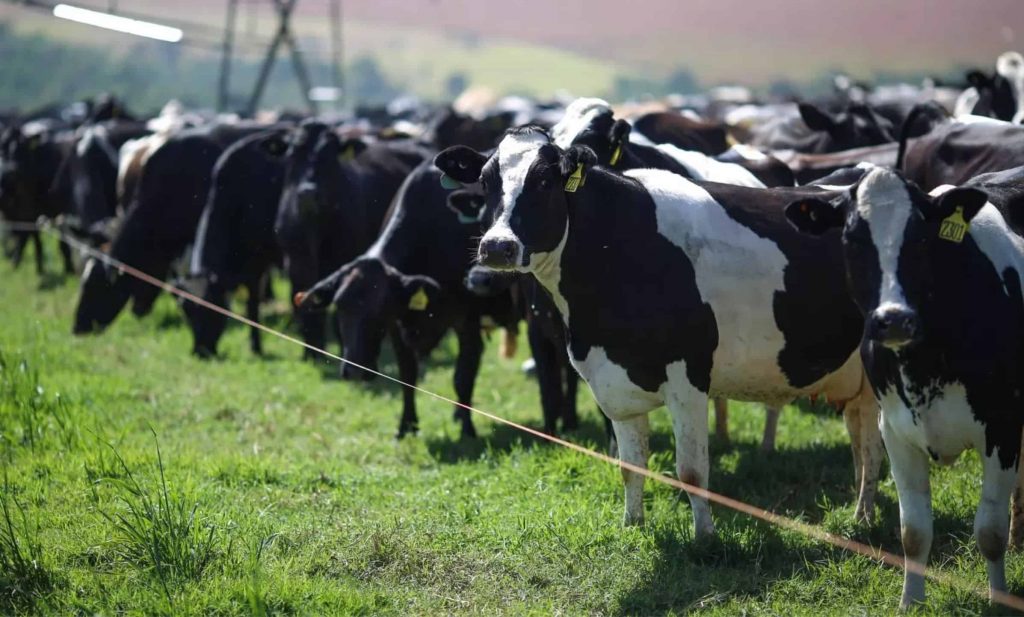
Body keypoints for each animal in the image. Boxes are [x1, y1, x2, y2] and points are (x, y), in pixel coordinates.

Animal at [180, 128, 288, 360]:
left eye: (212, 309)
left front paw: (256, 347)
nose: (200, 351)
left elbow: (252, 304)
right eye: (187, 312)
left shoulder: (260, 261)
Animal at [296, 159, 520, 439]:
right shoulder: (398, 326)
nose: (355, 370)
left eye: (380, 308)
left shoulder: (467, 322)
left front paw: (467, 429)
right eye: (340, 306)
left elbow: (463, 377)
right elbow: (407, 376)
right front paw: (406, 426)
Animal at [430, 128, 880, 536]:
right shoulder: (612, 382)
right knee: (861, 441)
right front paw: (633, 524)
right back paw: (860, 516)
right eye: (486, 181)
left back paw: (864, 518)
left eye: (543, 180)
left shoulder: (688, 377)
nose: (496, 247)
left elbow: (692, 472)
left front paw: (705, 538)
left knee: (874, 445)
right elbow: (630, 467)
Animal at [782, 166, 1024, 609]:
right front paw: (910, 601)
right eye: (852, 239)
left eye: (921, 238)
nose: (893, 319)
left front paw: (1000, 601)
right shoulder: (894, 429)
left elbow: (989, 531)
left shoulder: (1002, 426)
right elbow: (913, 530)